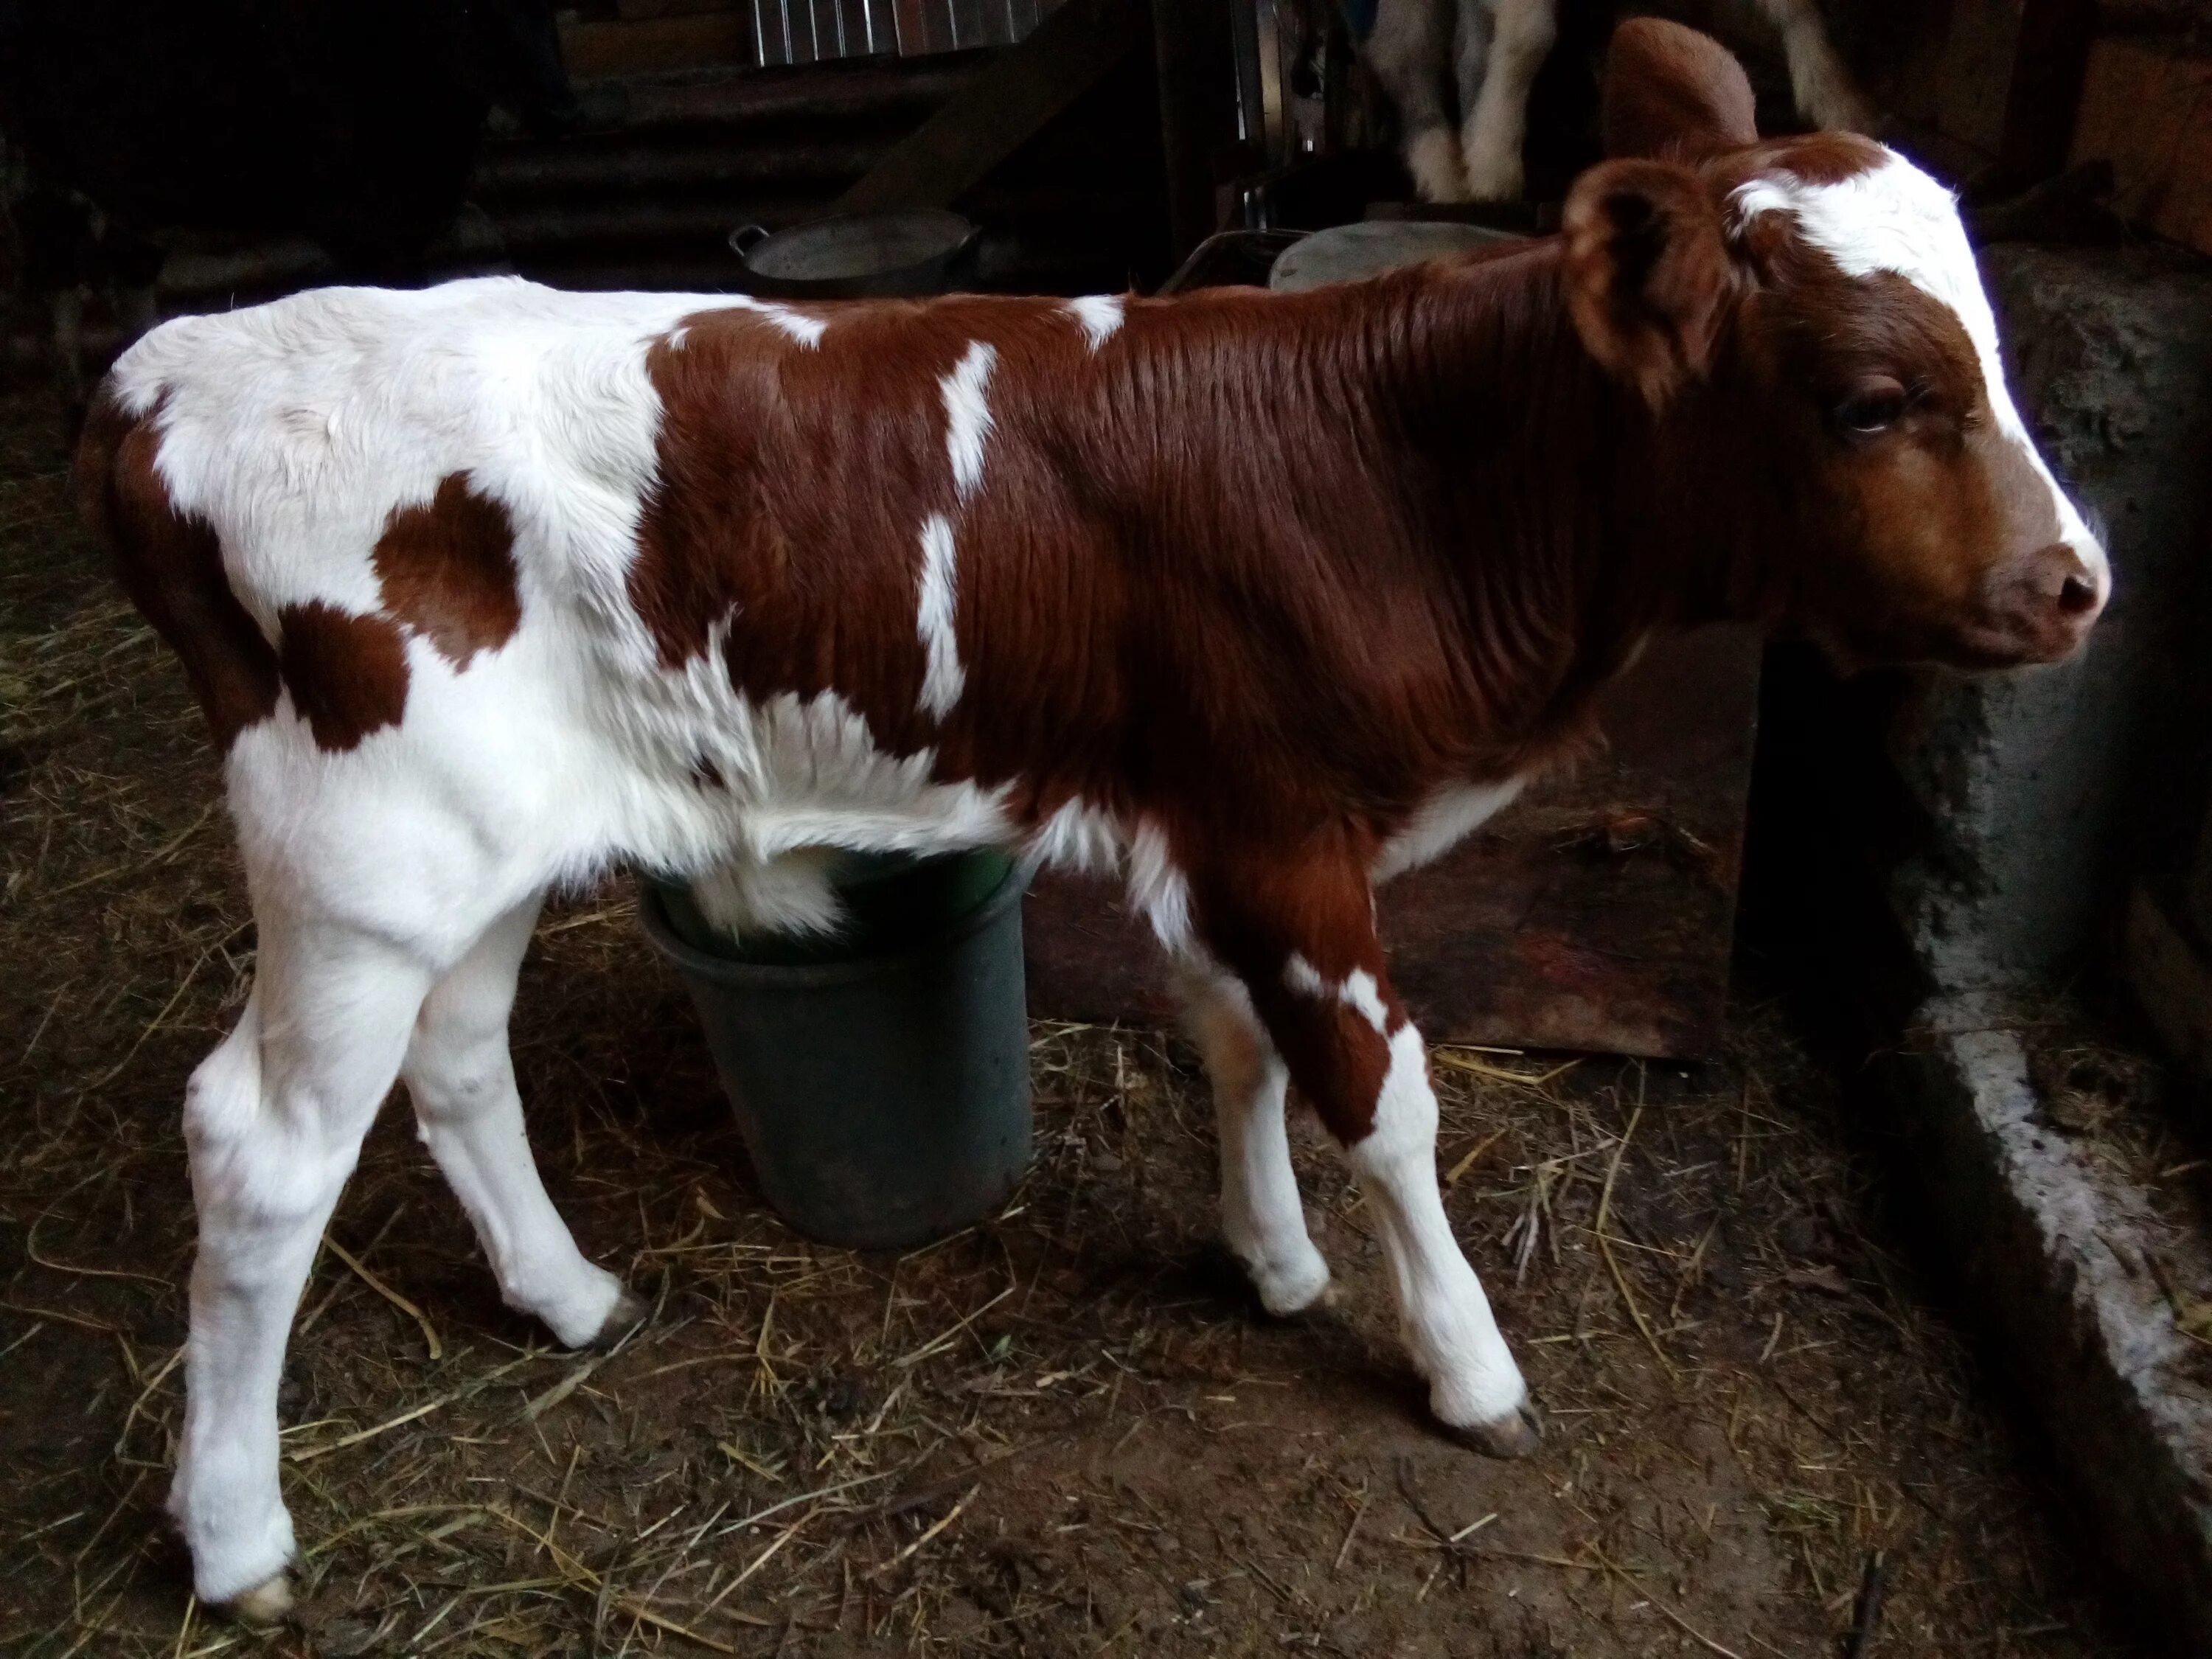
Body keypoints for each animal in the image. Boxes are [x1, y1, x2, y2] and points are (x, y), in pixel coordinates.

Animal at [73, 22, 2106, 1628]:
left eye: (1998, 354)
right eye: (1871, 400)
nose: (2076, 582)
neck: (1404, 465)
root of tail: (170, 368)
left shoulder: (1206, 819)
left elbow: (1235, 1046)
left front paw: (1272, 1262)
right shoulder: (1288, 824)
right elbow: (1384, 1100)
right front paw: (1466, 1367)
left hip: (477, 853)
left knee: (457, 1061)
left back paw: (569, 1296)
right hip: (358, 848)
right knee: (257, 1147)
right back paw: (235, 1538)